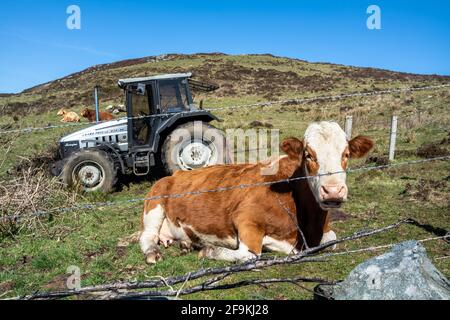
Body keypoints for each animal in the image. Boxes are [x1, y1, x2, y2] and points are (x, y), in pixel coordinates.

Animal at [139, 121, 374, 264]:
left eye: (346, 154)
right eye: (308, 155)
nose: (333, 191)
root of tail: (174, 174)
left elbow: (332, 240)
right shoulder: (246, 219)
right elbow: (251, 255)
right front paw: (209, 250)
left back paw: (186, 244)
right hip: (154, 204)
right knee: (147, 236)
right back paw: (154, 252)